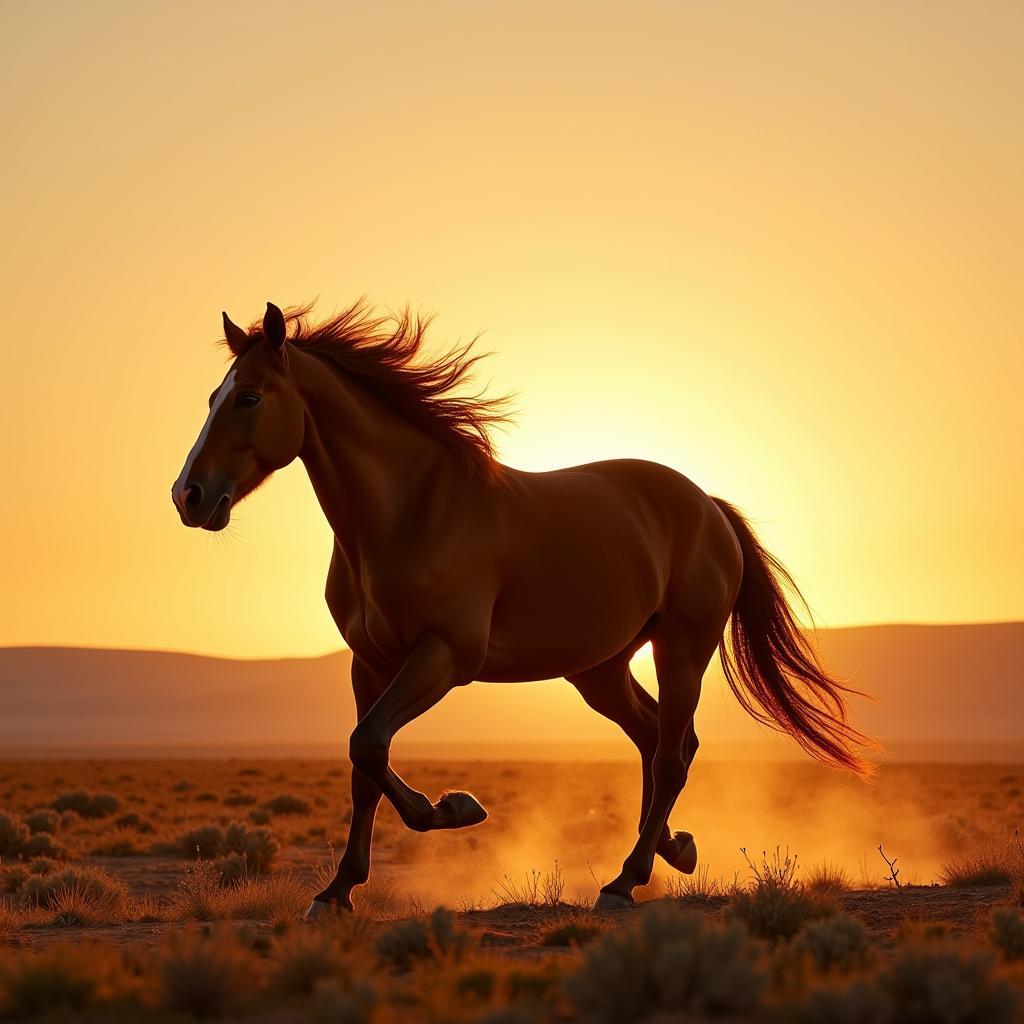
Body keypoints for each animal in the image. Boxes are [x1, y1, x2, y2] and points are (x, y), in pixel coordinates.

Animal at [169, 296, 872, 913]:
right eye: (211, 398)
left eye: (250, 397)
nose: (189, 496)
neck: (409, 512)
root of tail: (708, 505)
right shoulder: (367, 663)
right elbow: (362, 765)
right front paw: (336, 891)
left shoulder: (444, 657)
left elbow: (369, 745)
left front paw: (454, 808)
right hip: (599, 669)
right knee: (656, 740)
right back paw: (670, 852)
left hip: (682, 646)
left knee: (672, 753)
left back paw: (623, 882)